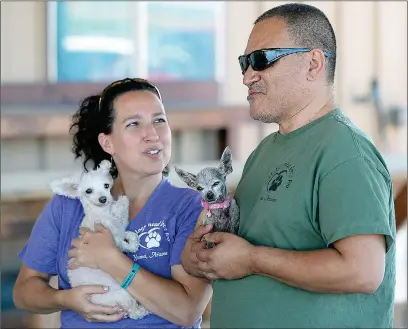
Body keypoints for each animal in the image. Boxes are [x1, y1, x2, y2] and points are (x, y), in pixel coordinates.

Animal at [50, 160, 150, 320]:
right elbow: (121, 221)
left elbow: (129, 238)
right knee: (133, 312)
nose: (103, 199)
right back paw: (143, 310)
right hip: (123, 295)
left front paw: (132, 240)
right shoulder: (112, 236)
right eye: (88, 191)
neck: (101, 212)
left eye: (106, 186)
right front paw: (122, 202)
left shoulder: (119, 231)